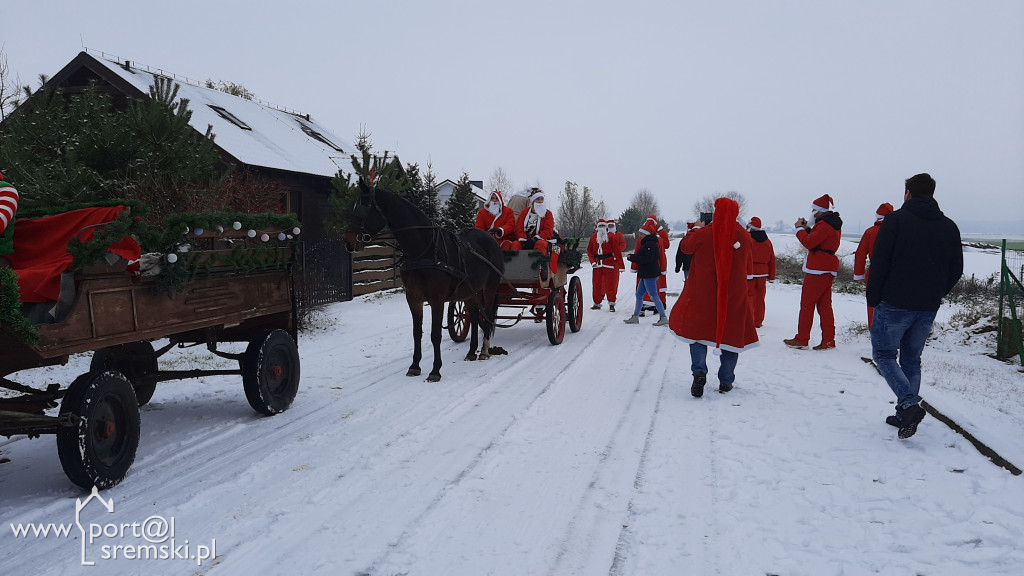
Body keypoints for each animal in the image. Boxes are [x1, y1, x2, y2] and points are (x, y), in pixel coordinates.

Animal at [344, 179, 503, 381]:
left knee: (488, 315)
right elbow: (416, 333)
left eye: (364, 209)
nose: (348, 242)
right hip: (470, 291)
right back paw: (471, 351)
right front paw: (414, 366)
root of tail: (490, 237)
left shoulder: (437, 300)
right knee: (474, 318)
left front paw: (435, 370)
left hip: (489, 287)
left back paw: (484, 350)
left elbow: (435, 334)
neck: (423, 250)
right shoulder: (413, 298)